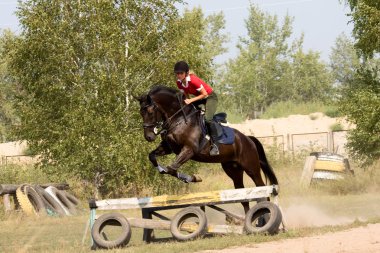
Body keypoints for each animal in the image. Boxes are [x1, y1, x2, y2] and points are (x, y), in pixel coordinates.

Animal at [137, 85, 280, 213]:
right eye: (140, 113)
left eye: (150, 112)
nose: (148, 137)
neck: (179, 120)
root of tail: (248, 139)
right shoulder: (169, 148)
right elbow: (153, 157)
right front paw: (164, 170)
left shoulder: (189, 149)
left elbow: (171, 168)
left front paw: (192, 178)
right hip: (233, 171)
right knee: (243, 196)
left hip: (251, 168)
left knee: (262, 189)